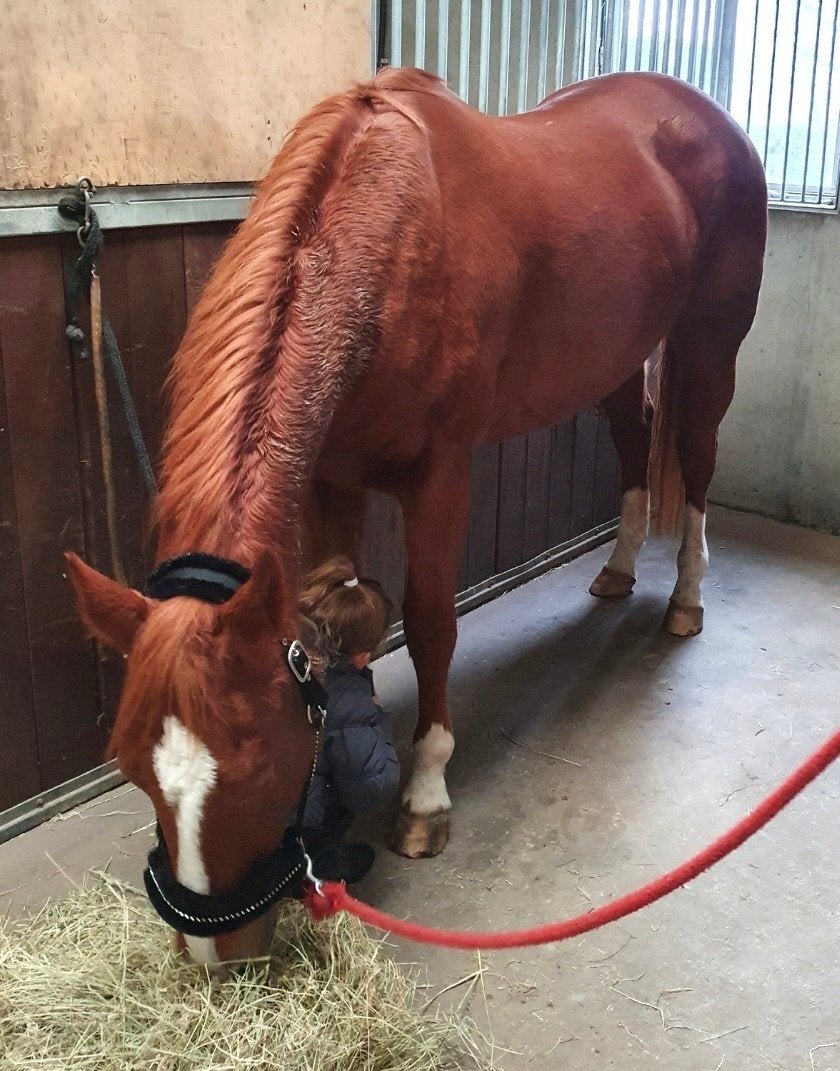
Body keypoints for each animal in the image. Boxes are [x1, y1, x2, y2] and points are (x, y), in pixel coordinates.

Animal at [66, 66, 767, 970]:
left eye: (257, 769)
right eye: (132, 767)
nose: (217, 956)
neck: (391, 242)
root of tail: (705, 116)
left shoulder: (440, 476)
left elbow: (432, 622)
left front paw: (425, 795)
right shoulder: (332, 476)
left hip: (712, 344)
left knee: (697, 458)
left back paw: (684, 601)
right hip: (615, 354)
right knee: (635, 438)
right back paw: (615, 572)